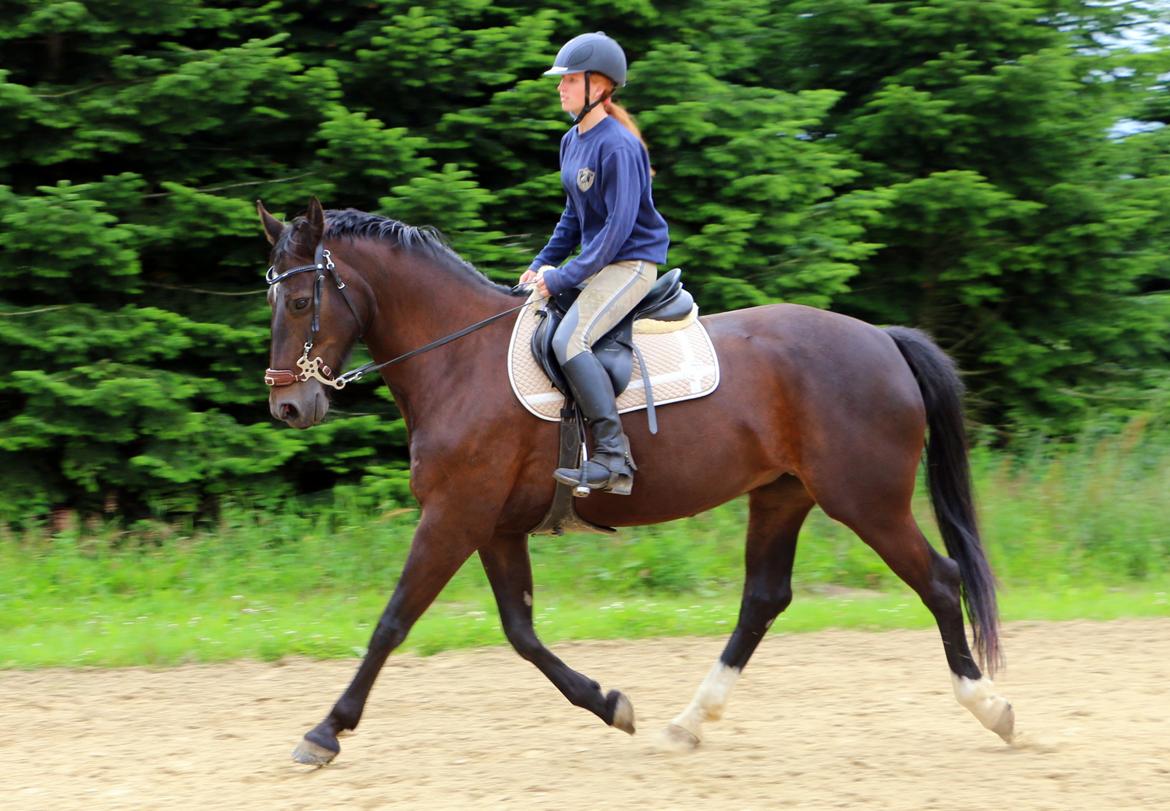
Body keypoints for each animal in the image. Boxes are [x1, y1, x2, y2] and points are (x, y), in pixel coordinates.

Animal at [258, 197, 1015, 767]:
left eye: (297, 301)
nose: (288, 406)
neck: (458, 358)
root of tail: (883, 339)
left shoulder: (454, 514)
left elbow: (392, 621)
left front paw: (324, 731)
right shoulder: (494, 525)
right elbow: (521, 632)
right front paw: (609, 704)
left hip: (865, 500)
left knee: (940, 580)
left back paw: (992, 708)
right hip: (781, 495)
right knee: (764, 599)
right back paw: (688, 722)